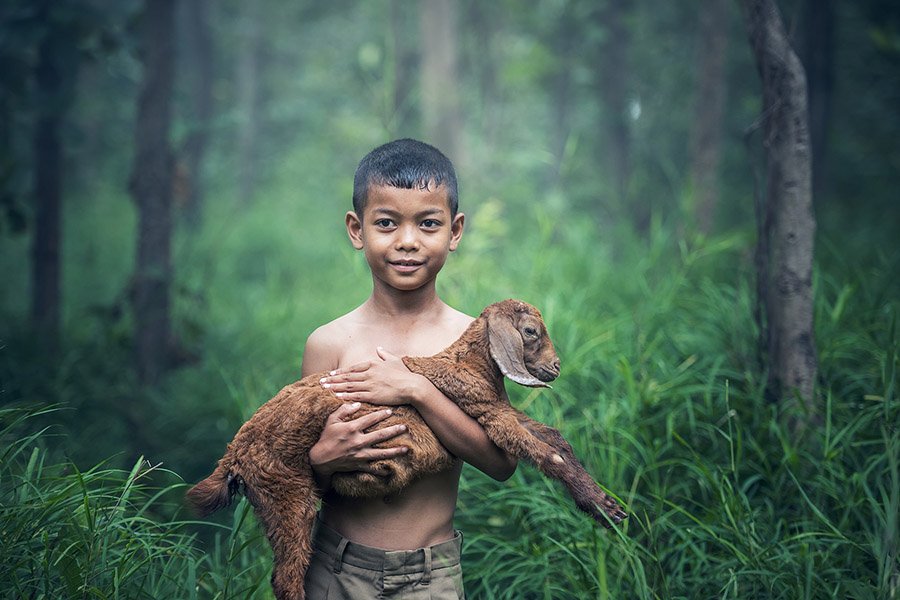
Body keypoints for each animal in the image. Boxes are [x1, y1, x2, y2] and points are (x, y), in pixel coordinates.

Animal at [187, 299, 627, 600]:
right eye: (531, 331)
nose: (556, 367)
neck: (468, 365)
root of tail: (233, 456)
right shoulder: (488, 416)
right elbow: (549, 454)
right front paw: (603, 507)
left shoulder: (501, 410)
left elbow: (556, 438)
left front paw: (606, 505)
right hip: (285, 494)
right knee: (287, 576)